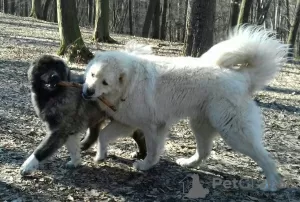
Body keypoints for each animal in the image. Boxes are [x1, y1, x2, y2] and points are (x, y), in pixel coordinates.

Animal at [82, 26, 288, 192]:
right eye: (92, 74)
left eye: (104, 82)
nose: (87, 91)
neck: (129, 83)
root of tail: (242, 77)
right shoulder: (127, 123)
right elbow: (103, 136)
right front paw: (100, 156)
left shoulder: (153, 127)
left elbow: (153, 151)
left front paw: (145, 166)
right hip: (201, 125)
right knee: (204, 151)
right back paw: (188, 163)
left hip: (234, 132)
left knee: (265, 158)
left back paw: (271, 184)